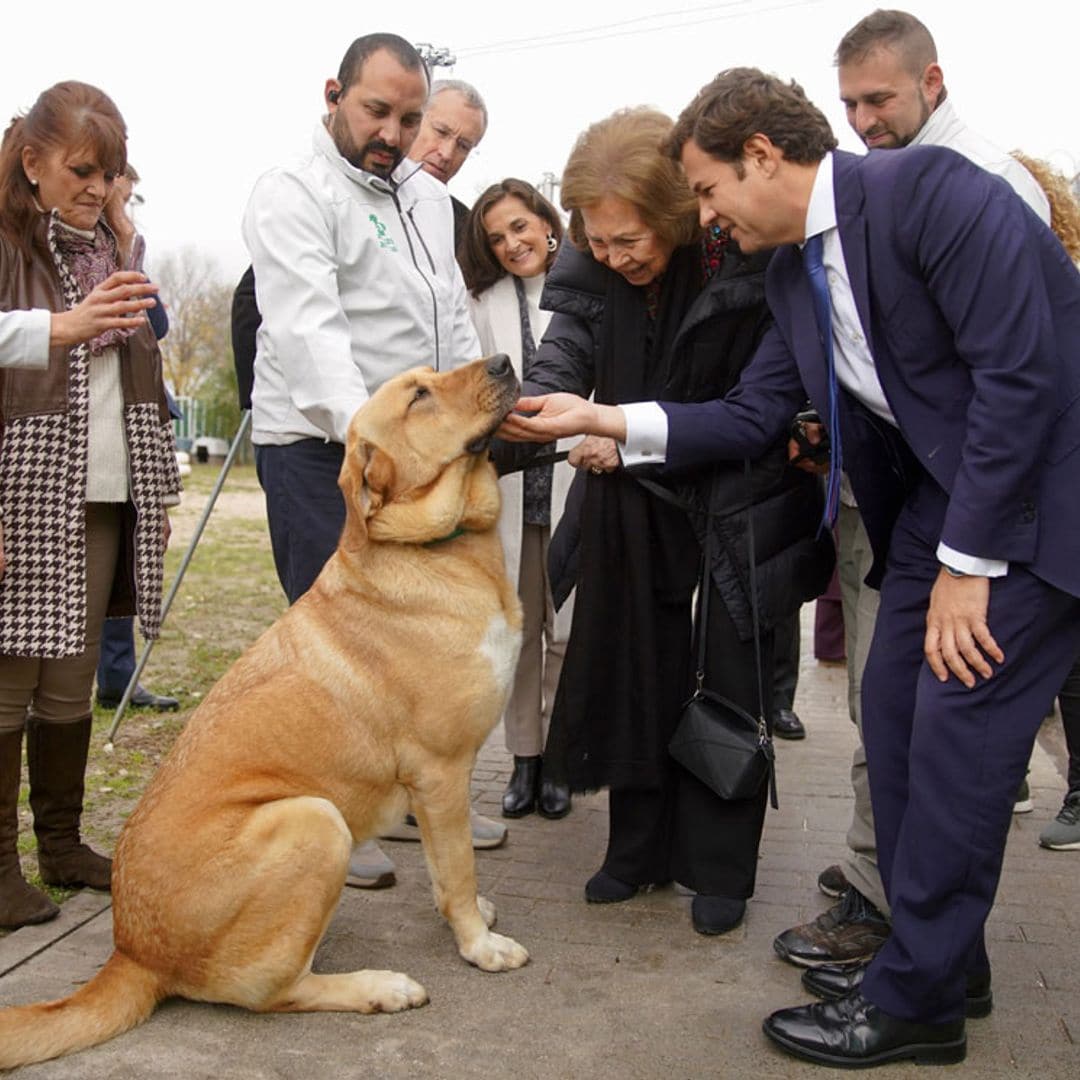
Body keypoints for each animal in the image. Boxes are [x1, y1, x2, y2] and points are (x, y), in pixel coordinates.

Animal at [0, 356, 527, 1071]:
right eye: (419, 396)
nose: (504, 362)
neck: (437, 549)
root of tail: (132, 951)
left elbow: (449, 872)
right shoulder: (441, 774)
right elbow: (458, 873)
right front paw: (478, 946)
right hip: (315, 820)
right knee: (272, 992)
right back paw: (378, 988)